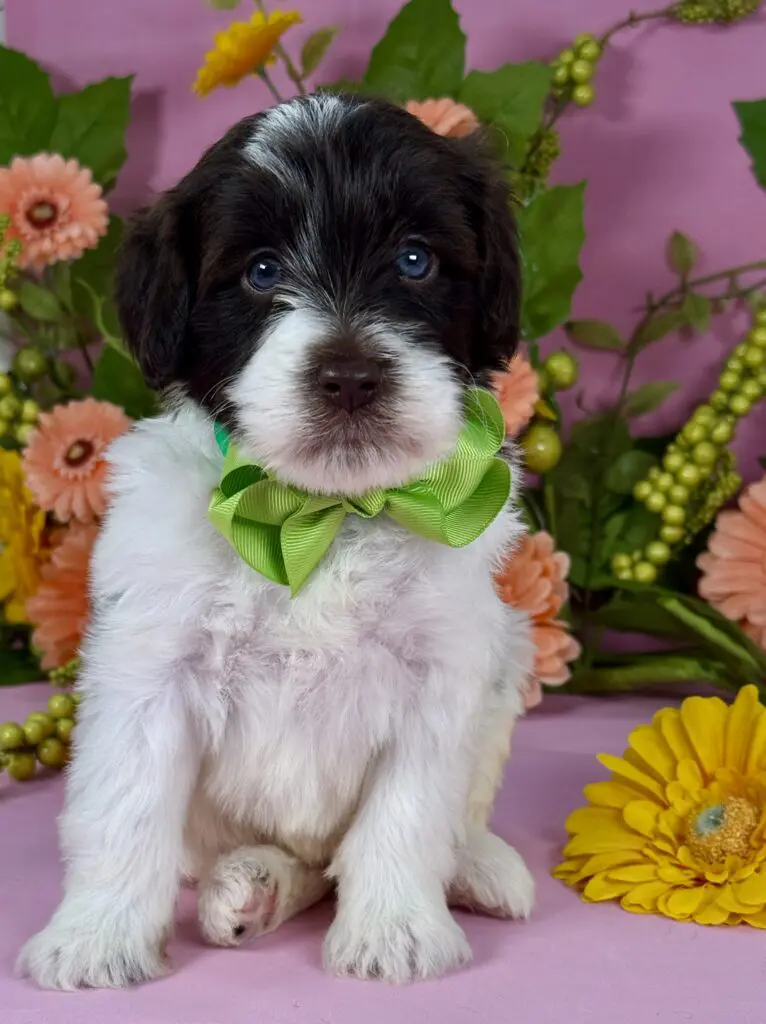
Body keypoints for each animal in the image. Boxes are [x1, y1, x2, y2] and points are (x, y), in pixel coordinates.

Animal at [19, 92, 534, 990]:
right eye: (260, 273)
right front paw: (96, 935)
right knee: (292, 863)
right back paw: (252, 885)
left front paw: (394, 930)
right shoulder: (149, 668)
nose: (351, 377)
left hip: (510, 659)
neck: (315, 514)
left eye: (414, 261)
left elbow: (408, 811)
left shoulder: (442, 674)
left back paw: (476, 865)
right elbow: (125, 806)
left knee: (414, 832)